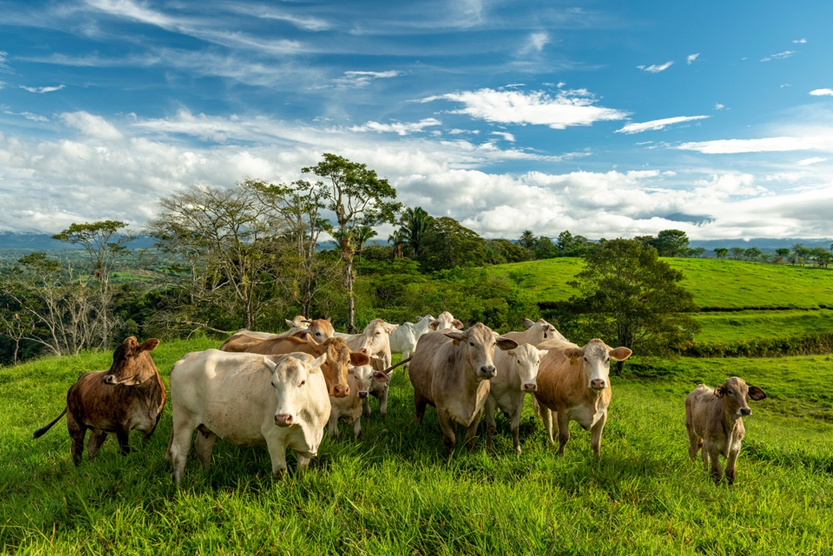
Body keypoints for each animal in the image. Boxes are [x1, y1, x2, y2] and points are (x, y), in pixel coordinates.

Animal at [33, 337, 165, 465]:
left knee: (92, 447)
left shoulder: (152, 425)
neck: (146, 398)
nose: (107, 378)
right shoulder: (121, 426)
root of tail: (78, 381)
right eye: (114, 356)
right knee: (76, 450)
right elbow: (125, 451)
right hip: (75, 424)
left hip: (99, 427)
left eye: (128, 354)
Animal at [166, 350, 331, 483]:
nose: (283, 417)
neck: (307, 423)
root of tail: (188, 356)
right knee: (179, 453)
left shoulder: (314, 437)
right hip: (183, 420)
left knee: (203, 449)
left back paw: (207, 475)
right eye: (273, 383)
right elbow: (280, 472)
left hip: (207, 425)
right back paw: (179, 486)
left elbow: (301, 470)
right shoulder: (273, 436)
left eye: (302, 382)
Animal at [408, 323, 518, 456]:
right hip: (418, 394)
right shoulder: (442, 411)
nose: (488, 369)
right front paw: (449, 458)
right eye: (471, 343)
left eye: (494, 343)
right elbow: (449, 439)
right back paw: (416, 431)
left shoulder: (478, 411)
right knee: (419, 414)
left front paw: (469, 456)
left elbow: (470, 439)